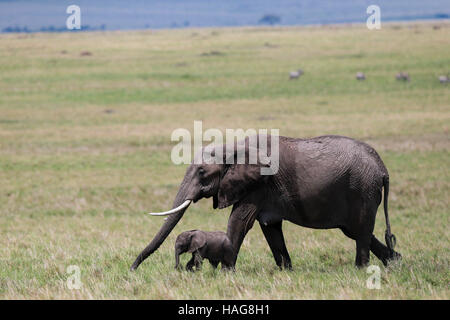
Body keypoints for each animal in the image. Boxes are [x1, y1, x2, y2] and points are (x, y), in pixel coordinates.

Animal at [130, 134, 400, 272]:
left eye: (201, 173)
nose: (132, 268)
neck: (234, 145)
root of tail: (383, 169)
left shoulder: (258, 184)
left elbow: (240, 221)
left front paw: (227, 272)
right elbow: (270, 228)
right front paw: (285, 271)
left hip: (362, 189)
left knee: (360, 231)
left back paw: (361, 270)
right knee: (356, 231)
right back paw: (394, 262)